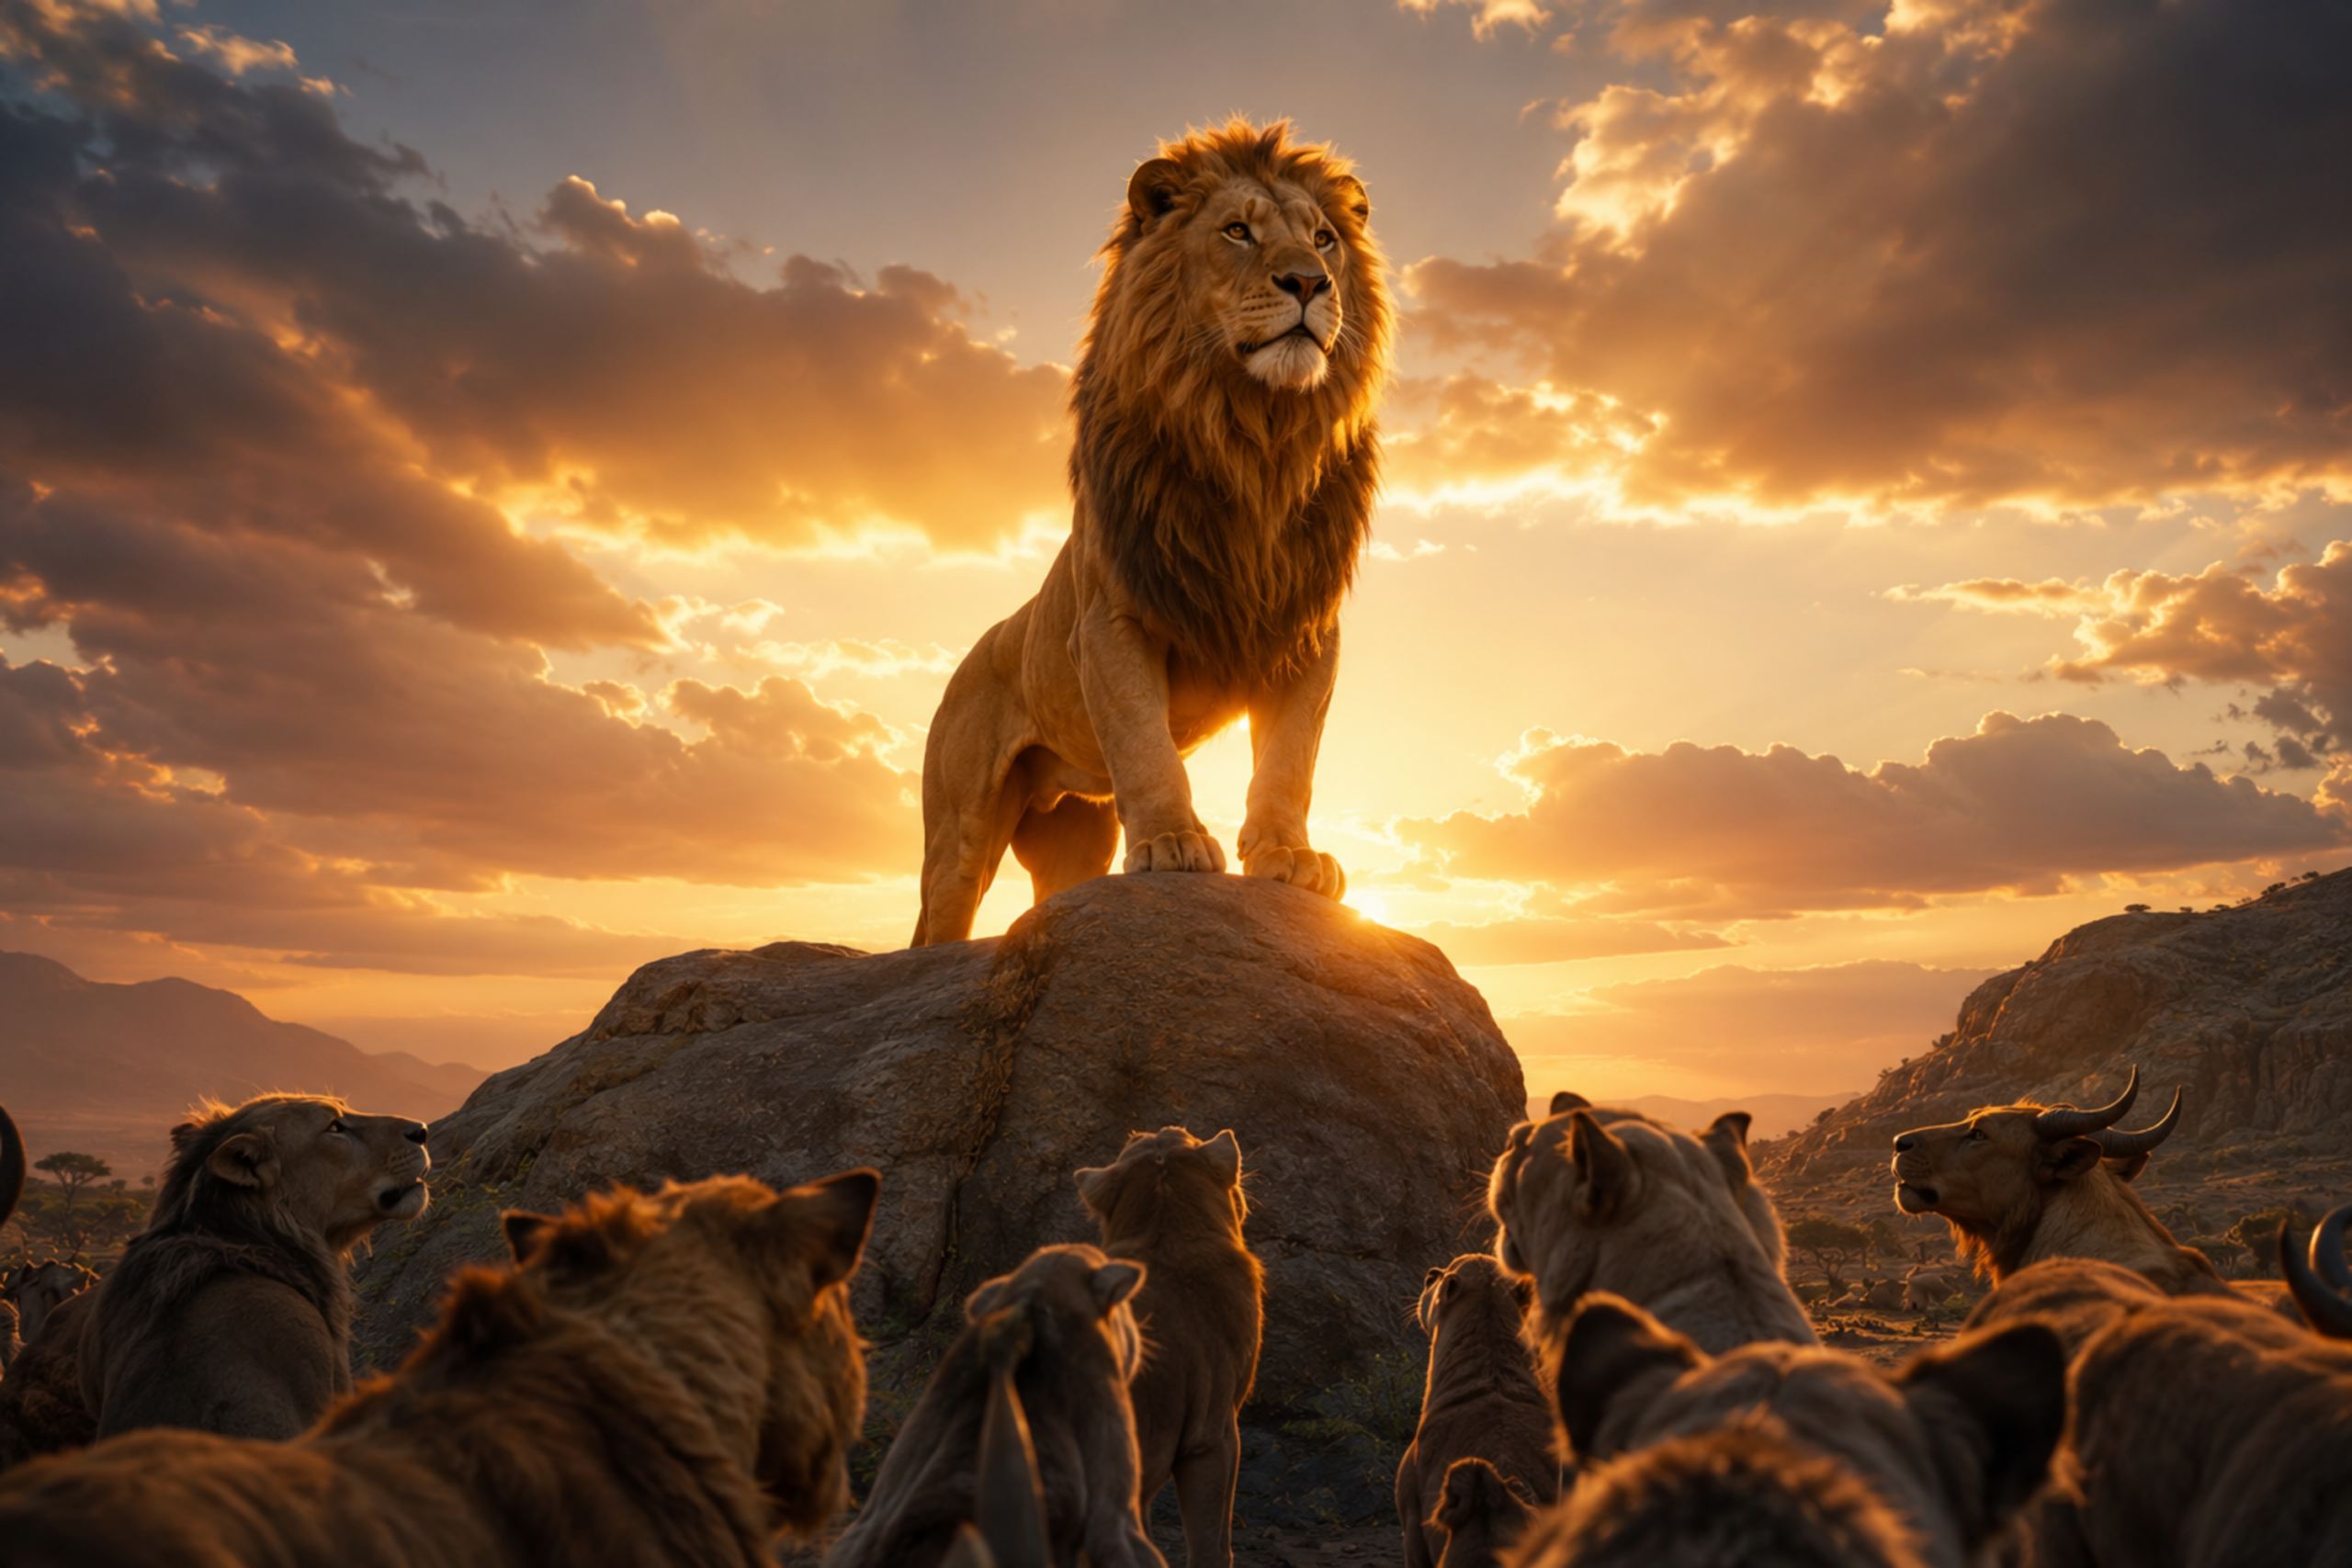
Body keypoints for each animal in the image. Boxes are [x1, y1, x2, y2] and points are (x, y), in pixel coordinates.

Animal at [910, 117, 1392, 945]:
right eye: (1237, 231)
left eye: (1324, 240)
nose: (1310, 284)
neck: (1255, 440)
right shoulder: (1112, 621)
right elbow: (1145, 741)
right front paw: (1172, 841)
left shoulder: (1308, 632)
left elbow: (1289, 760)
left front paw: (1289, 856)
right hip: (959, 835)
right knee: (940, 925)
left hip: (1074, 834)